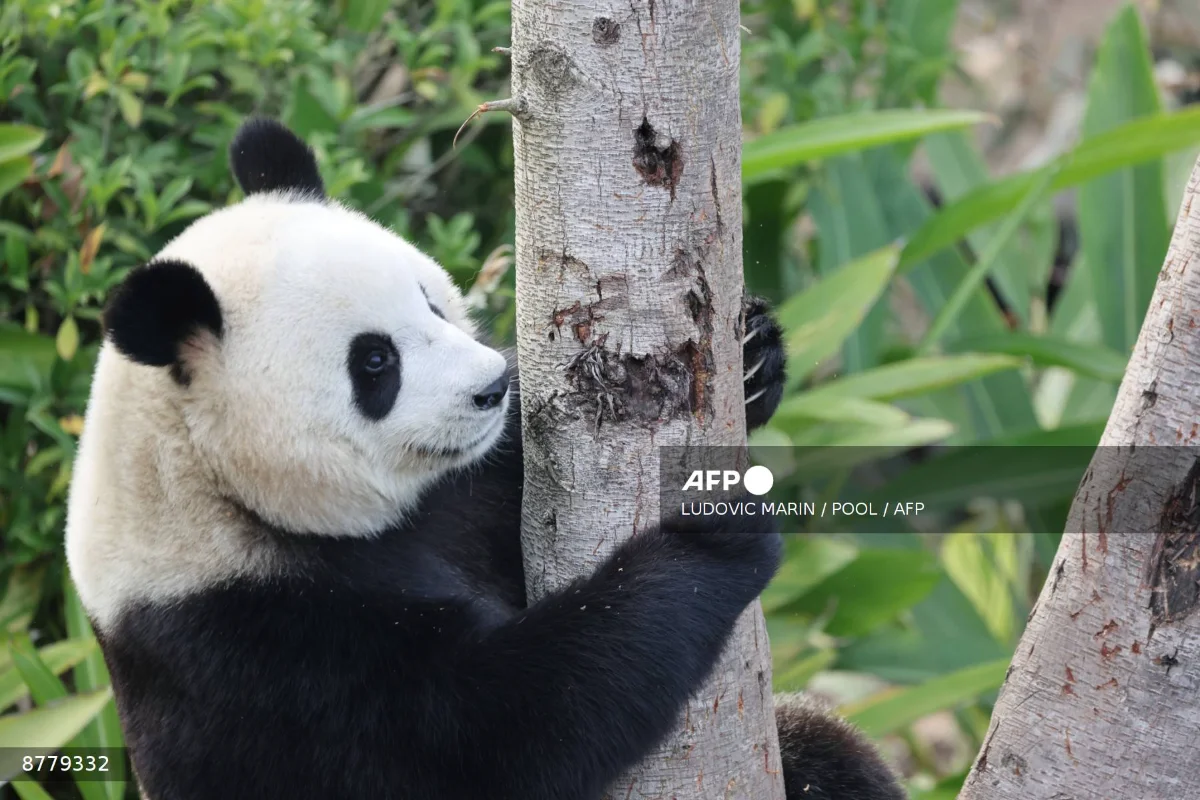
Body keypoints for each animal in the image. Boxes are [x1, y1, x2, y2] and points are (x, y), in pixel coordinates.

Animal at [64, 118, 905, 800]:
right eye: (375, 362)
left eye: (432, 302)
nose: (494, 386)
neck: (213, 487)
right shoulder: (255, 648)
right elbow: (495, 733)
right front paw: (710, 540)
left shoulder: (465, 491)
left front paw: (758, 357)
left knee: (826, 753)